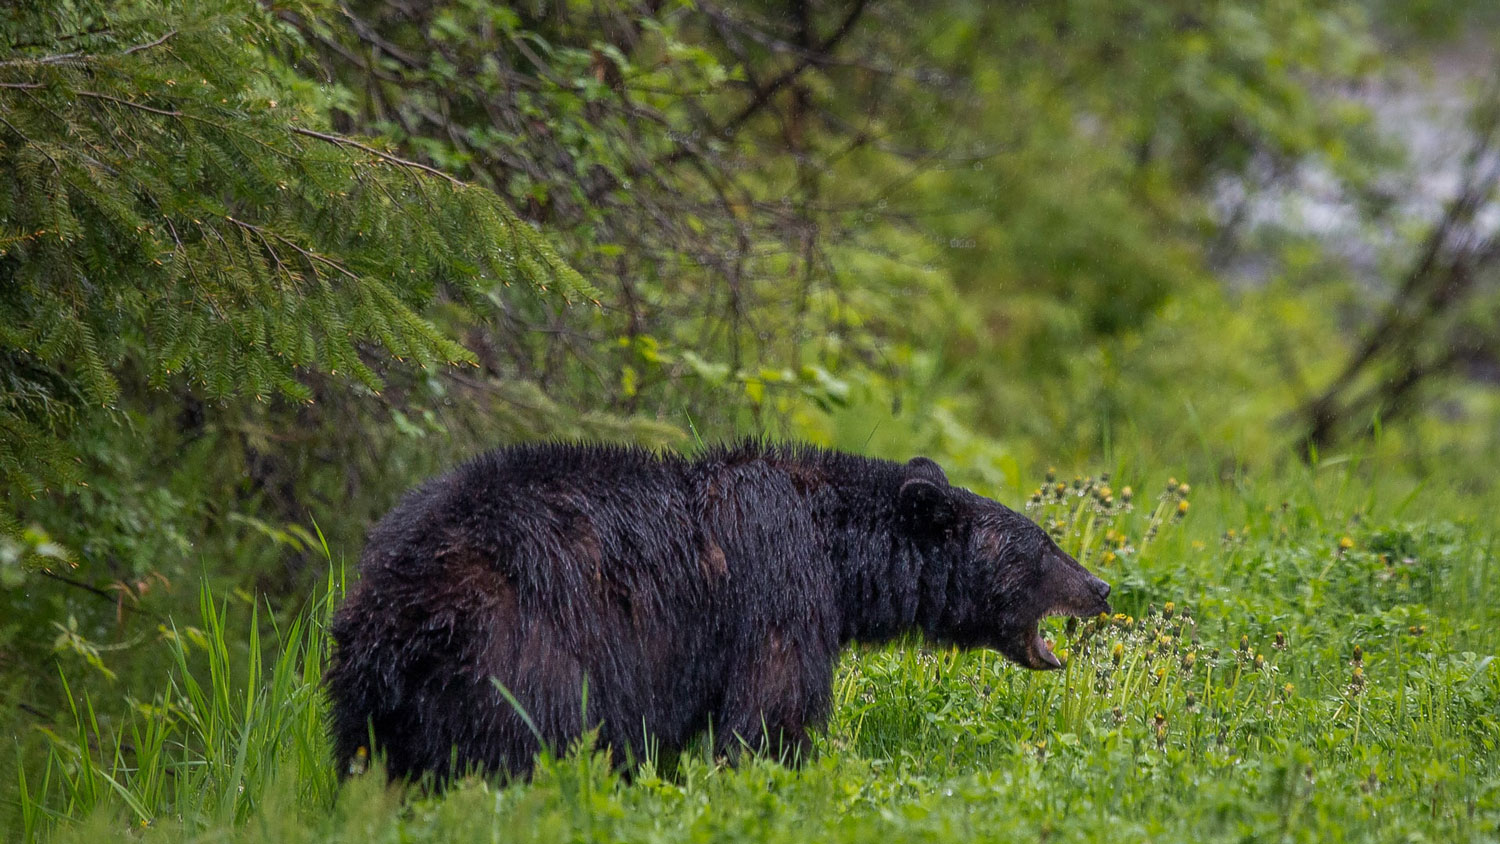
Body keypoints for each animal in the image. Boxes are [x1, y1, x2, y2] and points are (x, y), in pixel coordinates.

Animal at [328, 443, 1116, 779]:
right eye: (1044, 545)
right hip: (520, 654)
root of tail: (402, 612)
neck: (836, 549)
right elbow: (772, 708)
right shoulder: (778, 587)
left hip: (367, 699)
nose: (1103, 586)